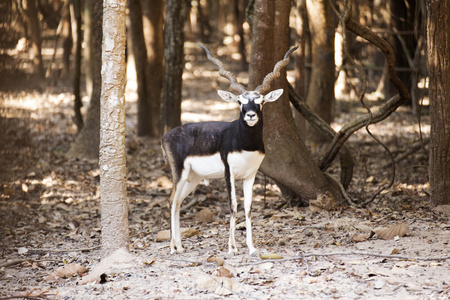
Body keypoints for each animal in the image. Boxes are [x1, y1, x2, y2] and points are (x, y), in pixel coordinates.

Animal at [163, 44, 298, 255]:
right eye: (240, 102)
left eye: (261, 102)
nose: (250, 115)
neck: (246, 145)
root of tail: (167, 135)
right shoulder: (230, 173)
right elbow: (233, 206)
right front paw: (232, 248)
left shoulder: (250, 175)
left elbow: (249, 208)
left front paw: (251, 247)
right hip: (180, 174)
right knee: (171, 201)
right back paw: (172, 248)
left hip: (193, 178)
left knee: (177, 203)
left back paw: (180, 246)